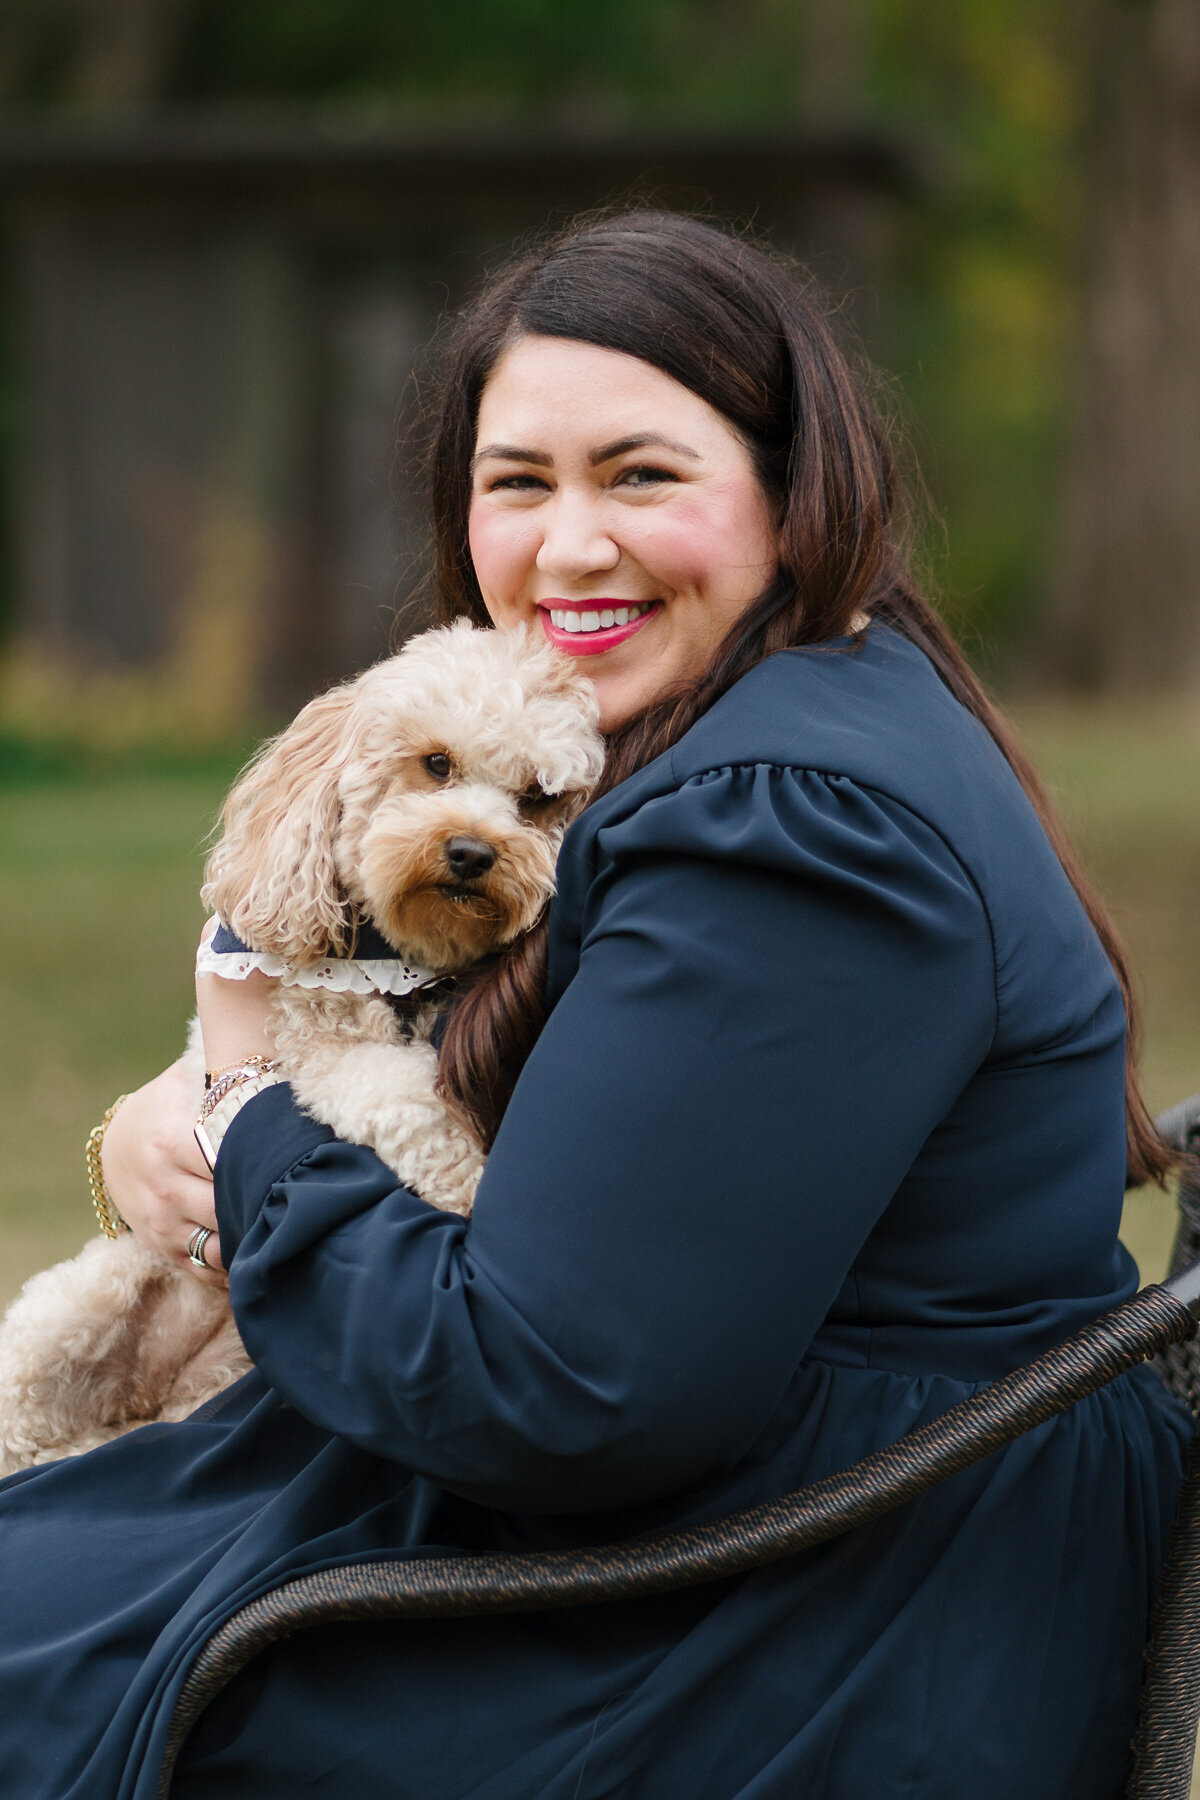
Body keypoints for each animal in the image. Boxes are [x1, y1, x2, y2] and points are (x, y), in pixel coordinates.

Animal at [0, 626, 600, 1468]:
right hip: (73, 1311)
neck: (409, 958)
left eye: (540, 799)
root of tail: (150, 1396)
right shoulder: (323, 1045)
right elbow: (416, 1105)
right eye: (436, 762)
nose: (472, 852)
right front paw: (472, 1190)